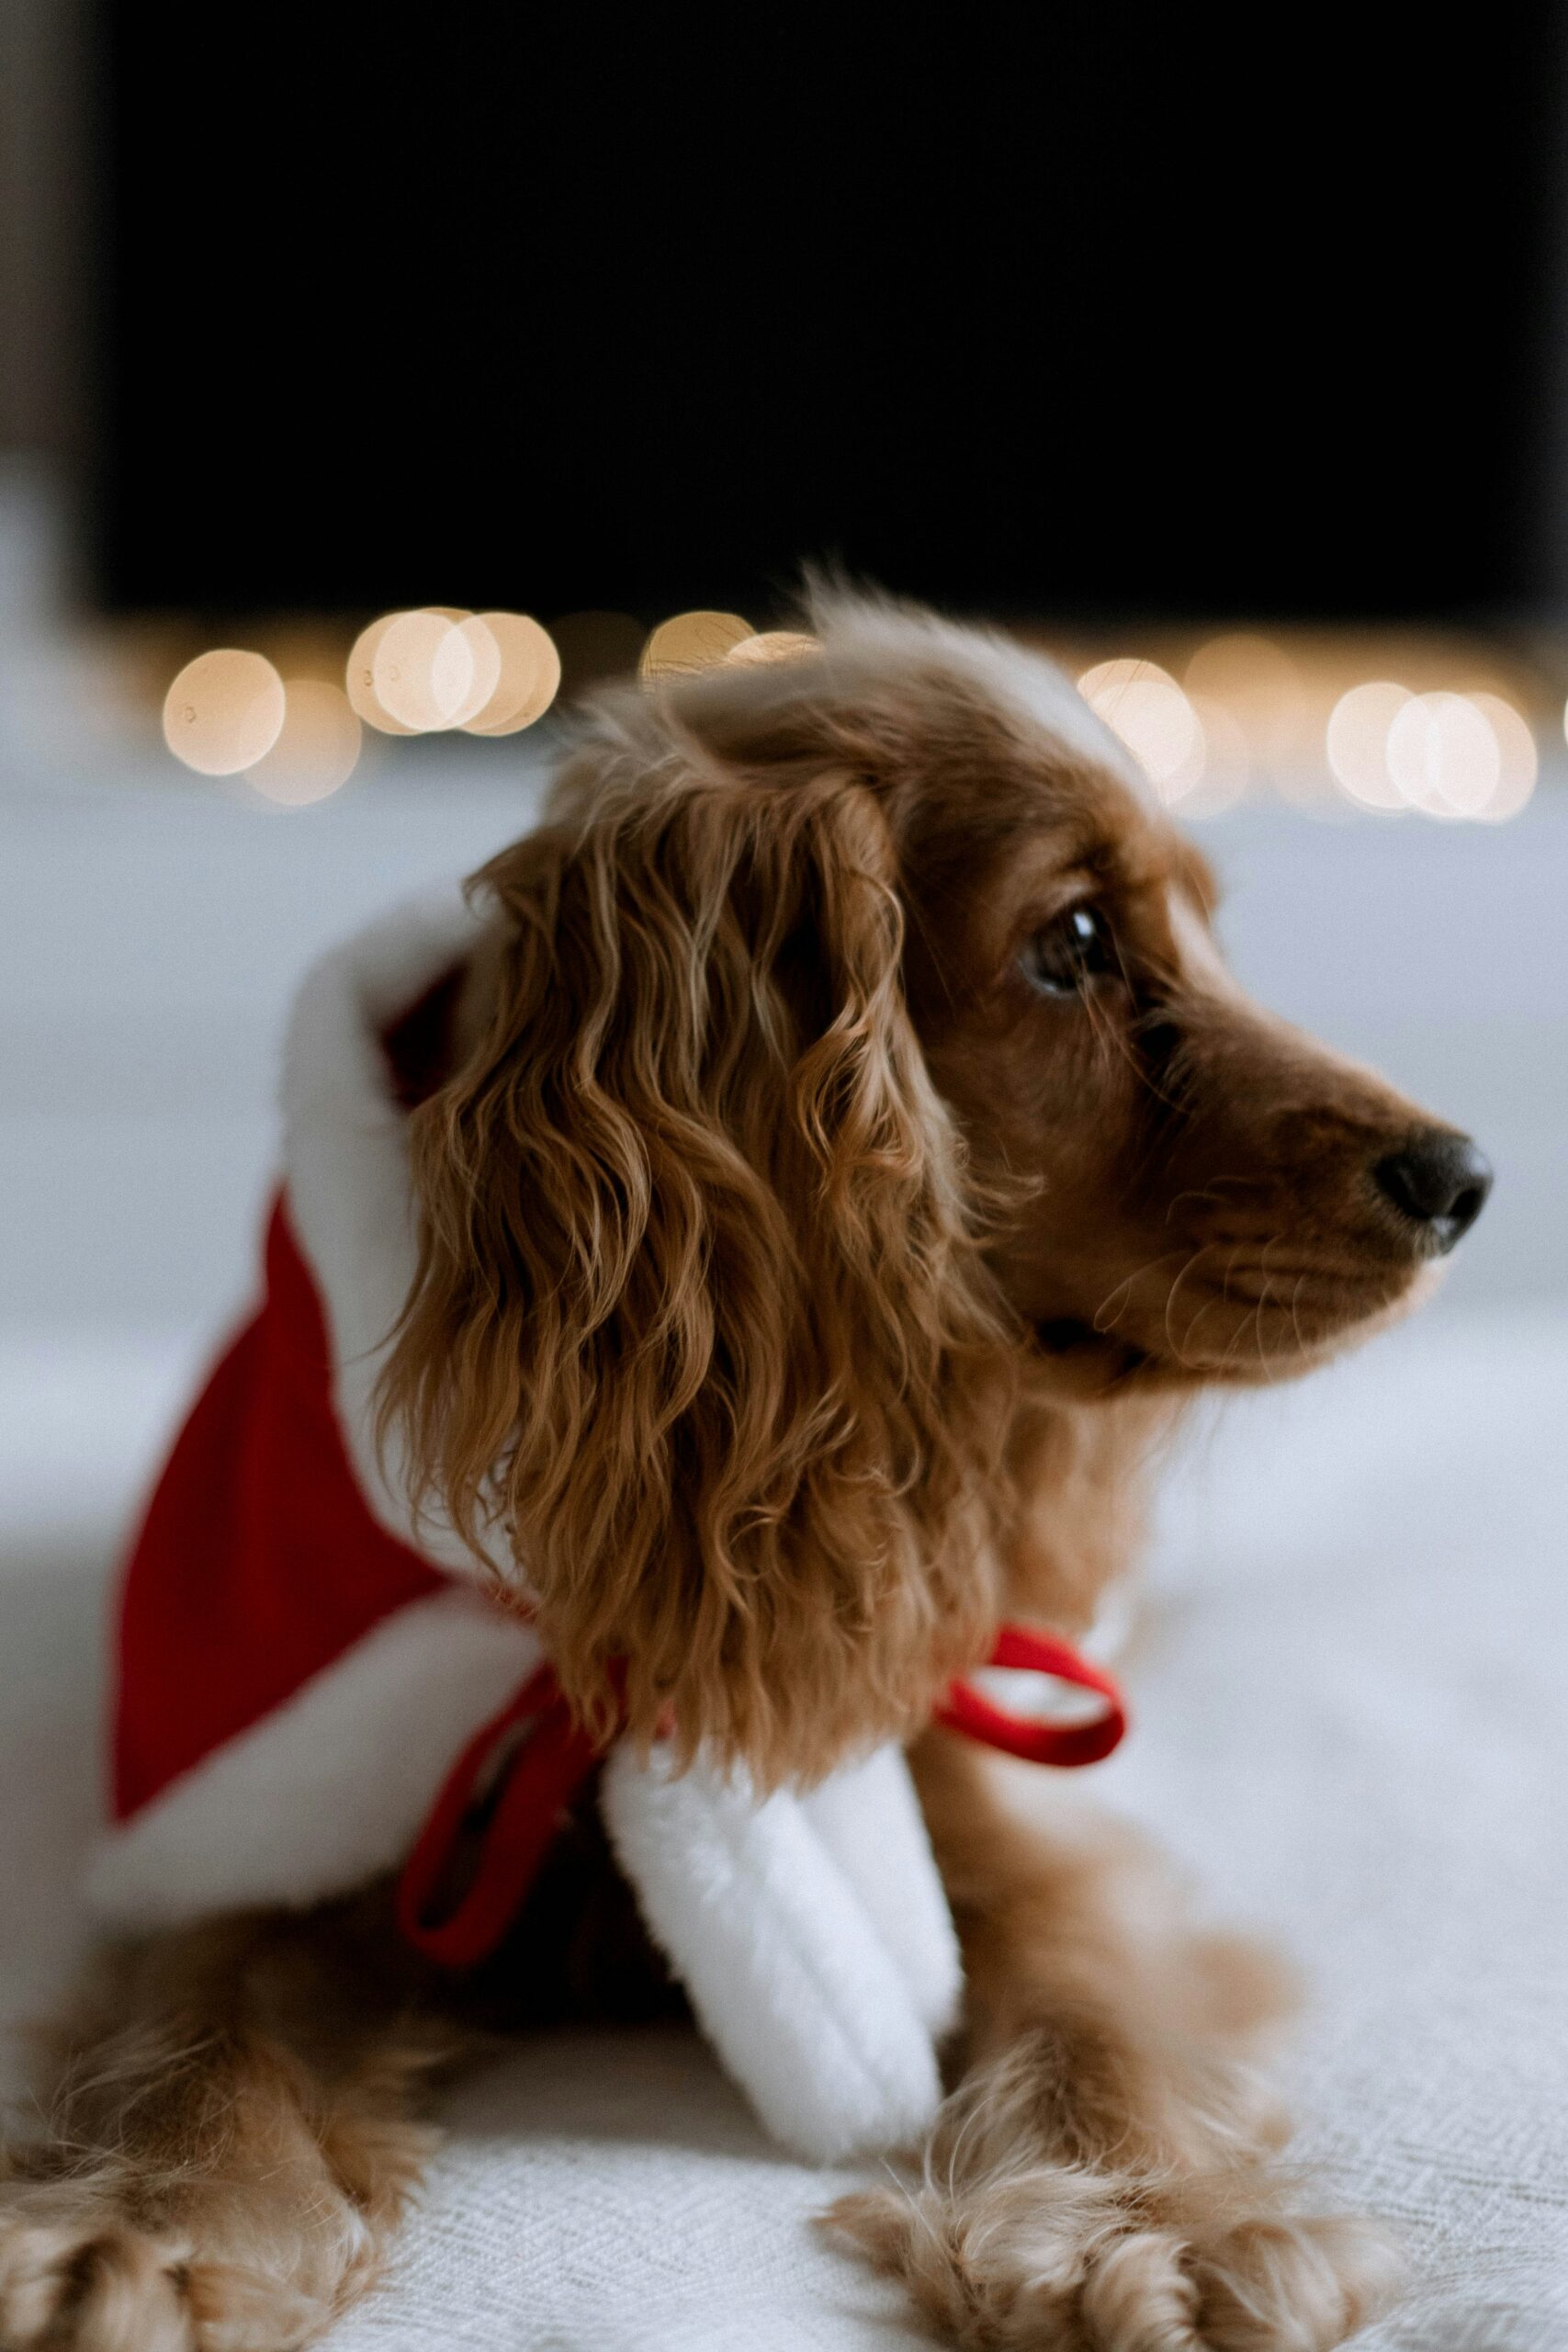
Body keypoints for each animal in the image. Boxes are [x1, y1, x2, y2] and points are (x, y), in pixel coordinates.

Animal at [0, 592, 1490, 2350]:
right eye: (1069, 943)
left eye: (1199, 933)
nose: (1464, 1176)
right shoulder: (269, 1816)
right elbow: (203, 2015)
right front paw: (146, 2219)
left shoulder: (974, 1765)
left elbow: (1091, 1999)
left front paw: (1154, 2220)